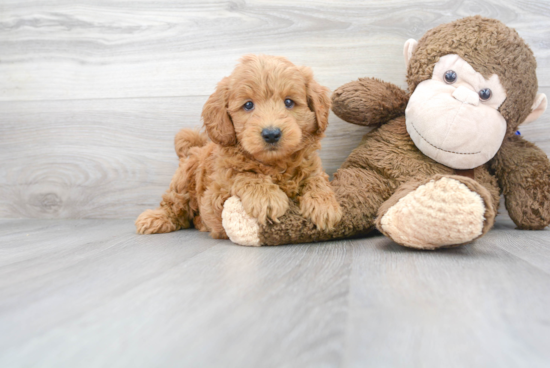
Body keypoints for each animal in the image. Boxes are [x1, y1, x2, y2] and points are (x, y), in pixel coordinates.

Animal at [136, 54, 340, 239]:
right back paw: (155, 219)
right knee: (174, 205)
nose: (271, 134)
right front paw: (267, 197)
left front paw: (324, 205)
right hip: (184, 182)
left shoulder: (312, 168)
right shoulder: (215, 195)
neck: (274, 164)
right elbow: (243, 175)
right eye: (248, 105)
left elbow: (316, 181)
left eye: (289, 102)